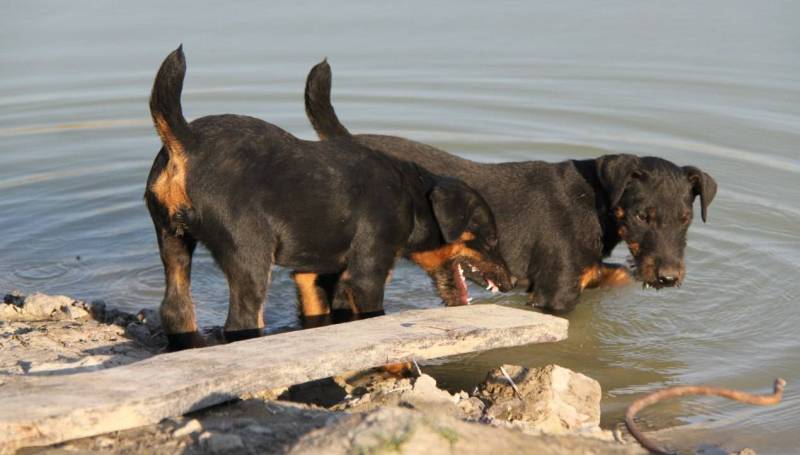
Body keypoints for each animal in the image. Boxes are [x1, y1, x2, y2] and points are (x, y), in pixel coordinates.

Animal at [147, 47, 516, 352]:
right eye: (490, 239)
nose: (513, 281)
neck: (412, 200)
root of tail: (187, 141)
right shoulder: (367, 277)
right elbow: (371, 322)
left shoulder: (314, 272)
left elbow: (325, 318)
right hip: (250, 259)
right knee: (241, 322)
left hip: (173, 242)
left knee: (176, 311)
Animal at [304, 60, 720, 316]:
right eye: (641, 216)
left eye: (685, 219)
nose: (668, 278)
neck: (595, 202)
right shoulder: (556, 295)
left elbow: (612, 274)